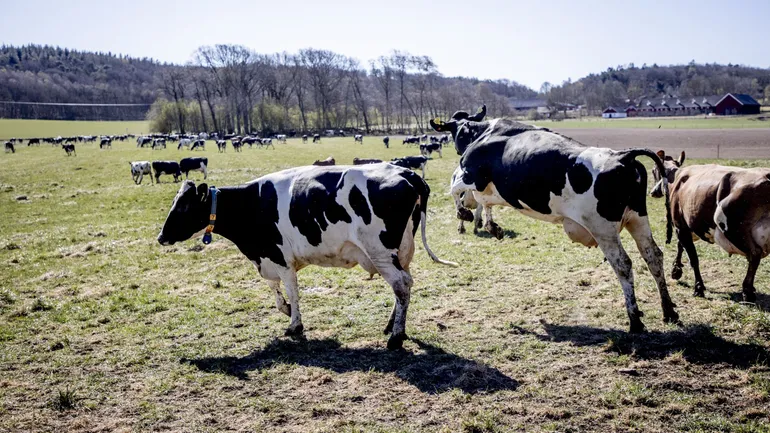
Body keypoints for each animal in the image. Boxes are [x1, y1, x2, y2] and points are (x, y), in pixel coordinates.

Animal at [156, 164, 457, 349]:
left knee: (401, 285)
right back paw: (392, 327)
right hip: (401, 250)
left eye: (182, 207)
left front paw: (295, 325)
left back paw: (396, 338)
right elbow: (277, 294)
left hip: (381, 252)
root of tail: (407, 173)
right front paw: (288, 311)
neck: (253, 204)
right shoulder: (267, 258)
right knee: (404, 284)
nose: (160, 237)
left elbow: (291, 291)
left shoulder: (279, 257)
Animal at [430, 105, 679, 333]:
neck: (482, 133)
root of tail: (623, 156)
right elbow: (485, 203)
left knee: (623, 265)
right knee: (653, 256)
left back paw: (635, 320)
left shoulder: (472, 175)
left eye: (453, 131)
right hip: (637, 219)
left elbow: (455, 189)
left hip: (603, 228)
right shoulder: (490, 189)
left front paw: (464, 214)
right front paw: (493, 227)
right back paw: (668, 310)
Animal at [650, 155, 770, 302]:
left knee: (754, 254)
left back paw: (747, 290)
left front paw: (698, 288)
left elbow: (693, 259)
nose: (653, 192)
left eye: (654, 170)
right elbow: (680, 246)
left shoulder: (681, 226)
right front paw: (676, 270)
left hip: (732, 229)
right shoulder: (688, 227)